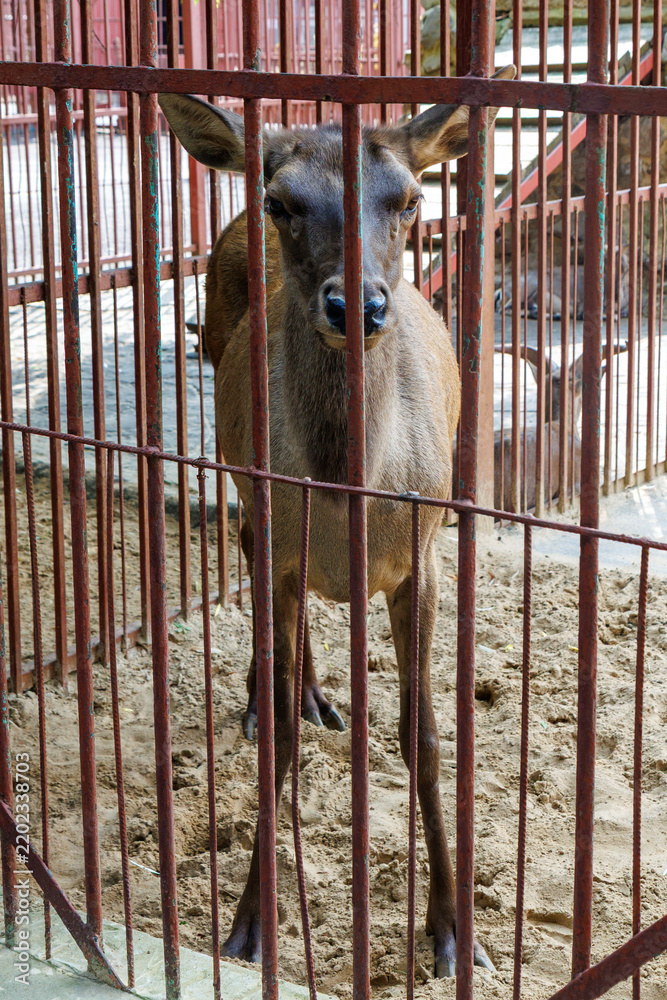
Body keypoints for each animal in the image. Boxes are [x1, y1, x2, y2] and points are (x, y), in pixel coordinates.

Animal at [159, 65, 515, 978]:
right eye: (282, 201)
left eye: (410, 200)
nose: (357, 306)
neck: (347, 491)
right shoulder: (281, 539)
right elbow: (282, 739)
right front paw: (250, 923)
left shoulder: (423, 557)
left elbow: (424, 735)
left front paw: (455, 933)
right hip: (238, 466)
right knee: (250, 568)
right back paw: (280, 693)